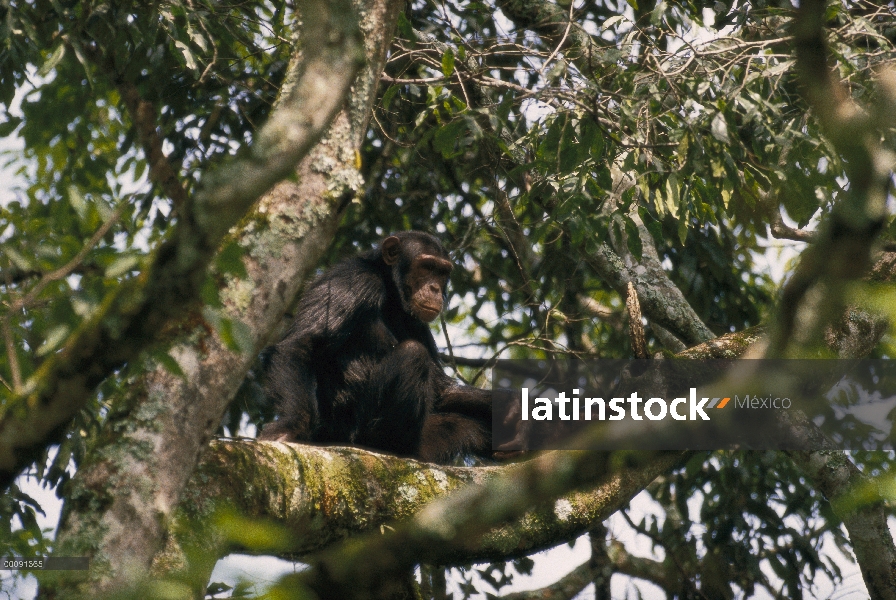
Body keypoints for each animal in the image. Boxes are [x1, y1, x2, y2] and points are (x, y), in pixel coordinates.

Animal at [260, 231, 500, 464]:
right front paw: (291, 427)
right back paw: (387, 445)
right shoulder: (351, 282)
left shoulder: (418, 324)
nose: (434, 288)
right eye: (427, 267)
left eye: (442, 272)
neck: (390, 290)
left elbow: (442, 389)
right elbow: (303, 343)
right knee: (413, 354)